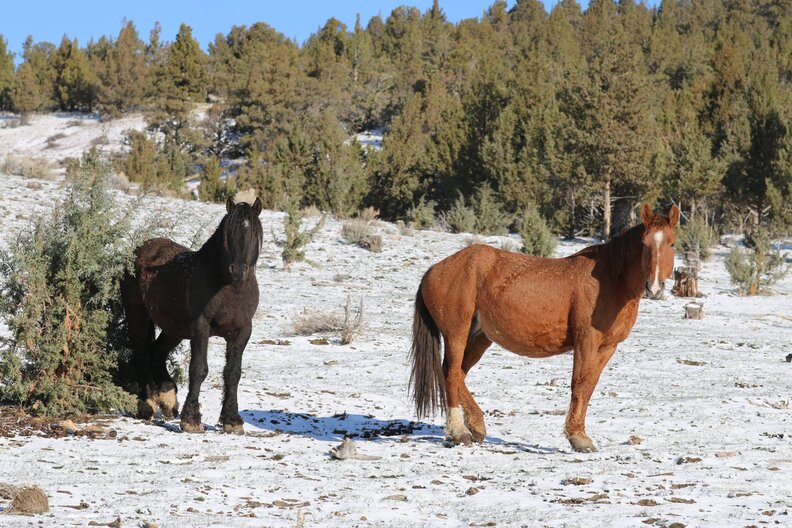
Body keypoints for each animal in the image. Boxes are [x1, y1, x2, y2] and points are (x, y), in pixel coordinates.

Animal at [121, 193, 263, 434]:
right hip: (138, 315)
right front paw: (191, 420)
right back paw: (147, 404)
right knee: (141, 352)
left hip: (174, 329)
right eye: (229, 234)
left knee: (157, 352)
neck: (229, 287)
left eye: (254, 233)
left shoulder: (243, 331)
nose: (238, 270)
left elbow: (233, 373)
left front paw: (232, 420)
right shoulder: (201, 327)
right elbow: (198, 369)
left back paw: (168, 399)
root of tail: (142, 248)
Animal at [409, 204, 679, 452]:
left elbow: (589, 387)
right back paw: (459, 431)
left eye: (672, 243)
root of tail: (435, 270)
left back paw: (476, 426)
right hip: (456, 333)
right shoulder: (586, 342)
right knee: (451, 373)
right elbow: (579, 385)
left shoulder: (608, 347)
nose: (654, 287)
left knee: (458, 375)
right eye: (644, 244)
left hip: (480, 337)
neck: (610, 280)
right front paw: (578, 438)